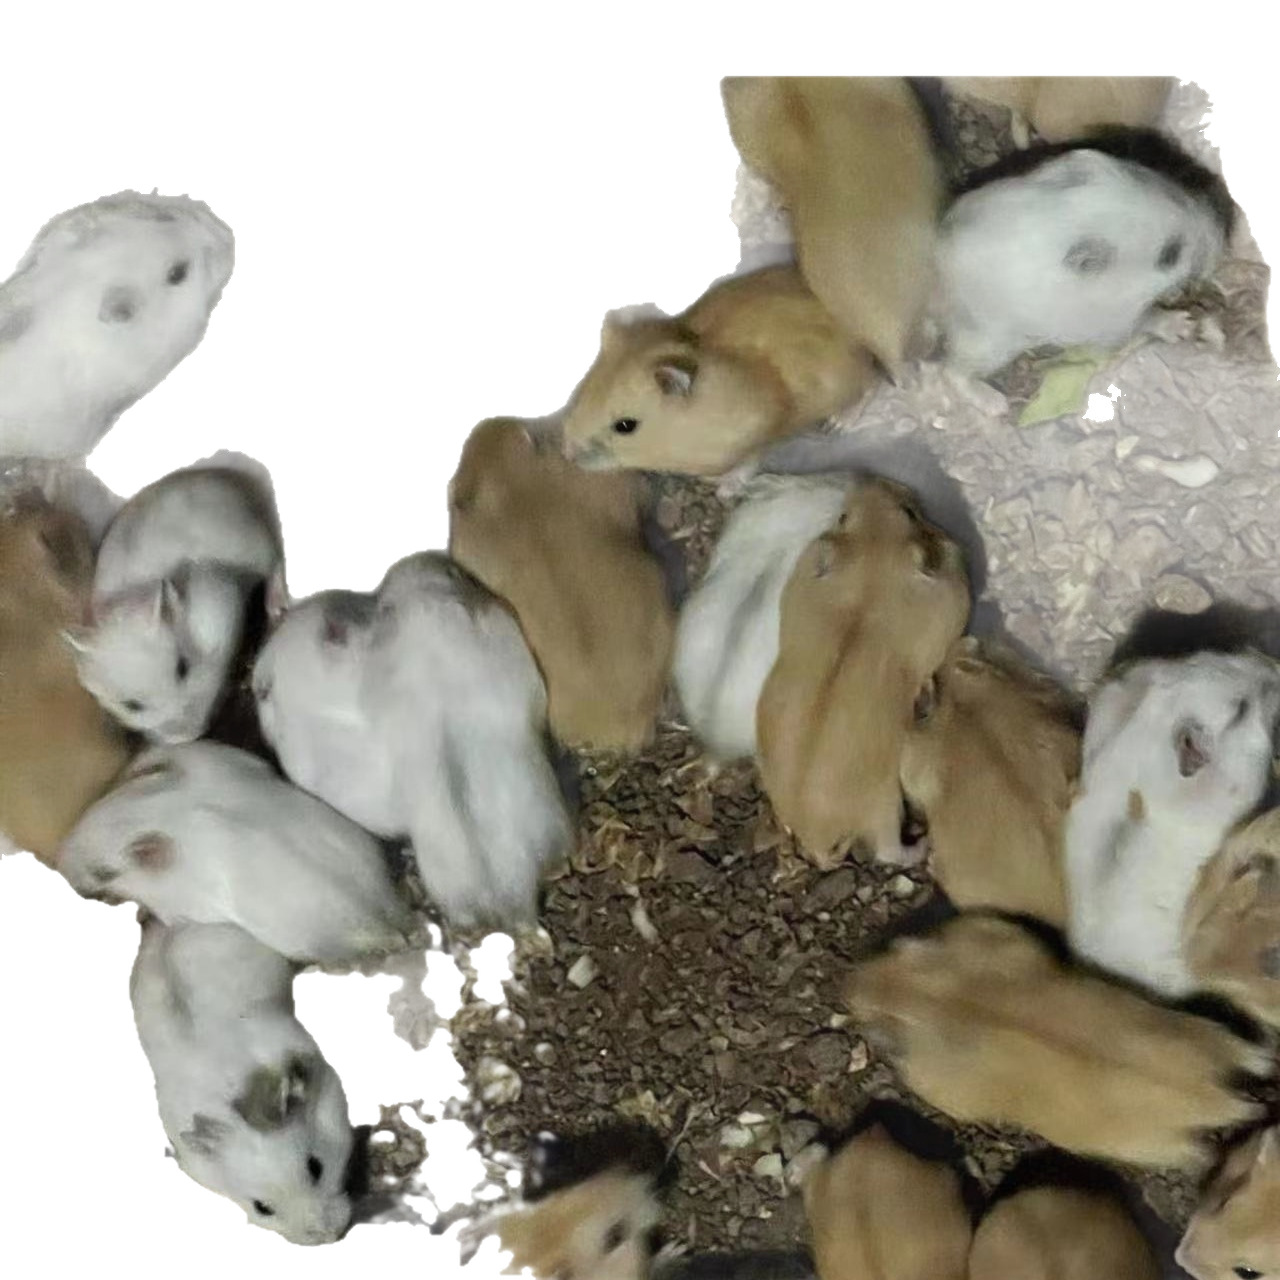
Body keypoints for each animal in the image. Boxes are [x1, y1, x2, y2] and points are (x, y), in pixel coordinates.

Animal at [561, 264, 875, 477]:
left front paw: (724, 489)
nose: (567, 454)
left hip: (847, 379)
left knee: (868, 386)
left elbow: (749, 461)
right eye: (581, 392)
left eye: (625, 426)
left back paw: (837, 424)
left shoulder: (758, 434)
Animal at [756, 476, 970, 868]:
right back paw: (922, 845)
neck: (871, 576)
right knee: (889, 851)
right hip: (885, 806)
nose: (872, 480)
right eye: (910, 512)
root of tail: (815, 835)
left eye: (843, 517)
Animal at [843, 913, 1270, 1171]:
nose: (848, 983)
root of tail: (1214, 1096)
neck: (926, 998)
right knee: (1249, 1055)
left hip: (1146, 1144)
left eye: (870, 1025)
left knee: (1200, 1151)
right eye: (889, 949)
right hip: (1204, 1032)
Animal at [936, 127, 1234, 377]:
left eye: (1174, 192)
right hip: (991, 343)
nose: (1221, 236)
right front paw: (1184, 324)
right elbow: (1150, 319)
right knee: (952, 372)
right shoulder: (1114, 321)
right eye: (1169, 255)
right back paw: (994, 404)